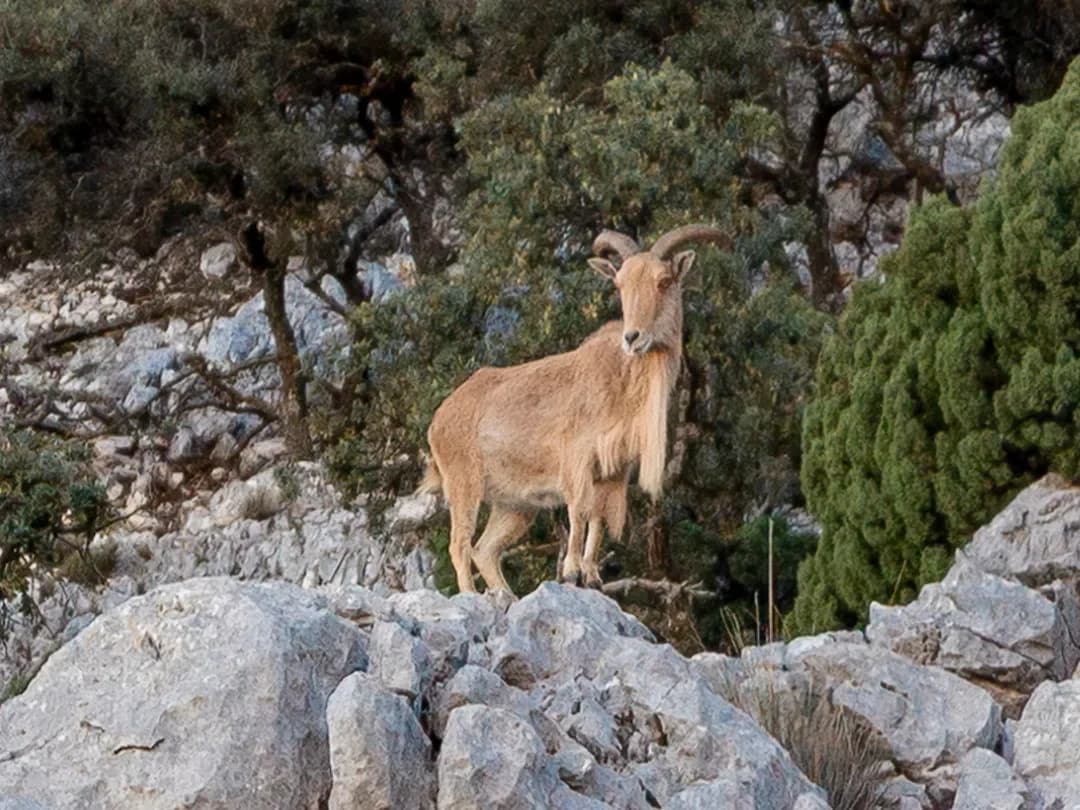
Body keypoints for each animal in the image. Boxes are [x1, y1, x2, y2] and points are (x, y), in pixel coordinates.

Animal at [419, 224, 730, 593]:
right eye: (619, 284)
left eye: (664, 281)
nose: (632, 337)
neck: (623, 380)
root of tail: (440, 417)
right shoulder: (578, 460)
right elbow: (579, 512)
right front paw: (570, 571)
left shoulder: (613, 473)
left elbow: (598, 519)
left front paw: (592, 575)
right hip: (463, 483)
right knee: (460, 545)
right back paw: (473, 595)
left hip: (514, 504)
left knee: (485, 549)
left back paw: (506, 596)